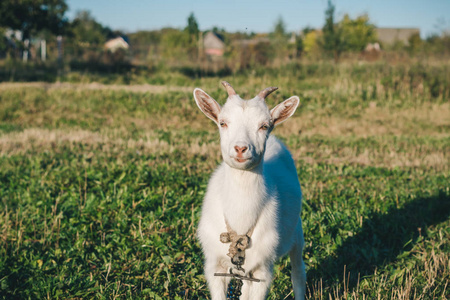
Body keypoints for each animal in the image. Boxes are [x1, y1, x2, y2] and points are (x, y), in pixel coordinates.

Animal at [193, 82, 306, 300]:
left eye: (264, 125)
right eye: (222, 123)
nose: (240, 148)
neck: (240, 220)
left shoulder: (262, 269)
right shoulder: (214, 264)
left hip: (296, 231)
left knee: (298, 272)